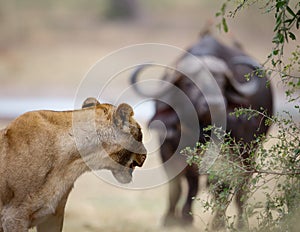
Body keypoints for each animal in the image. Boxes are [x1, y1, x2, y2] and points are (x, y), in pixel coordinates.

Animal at [130, 33, 274, 229]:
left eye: (221, 83)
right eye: (190, 83)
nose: (214, 104)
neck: (200, 131)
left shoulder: (229, 155)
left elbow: (222, 187)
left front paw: (217, 223)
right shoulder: (167, 150)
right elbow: (176, 186)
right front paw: (171, 218)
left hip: (249, 155)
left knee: (240, 190)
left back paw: (241, 223)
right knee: (194, 183)